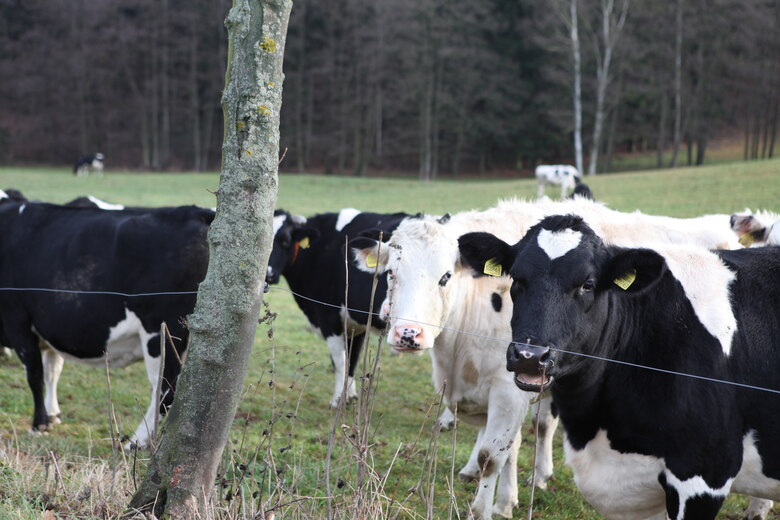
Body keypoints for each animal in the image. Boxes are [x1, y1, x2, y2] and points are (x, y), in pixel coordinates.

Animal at [0, 192, 212, 448]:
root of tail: (198, 212)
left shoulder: (17, 319)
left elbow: (34, 375)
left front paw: (39, 425)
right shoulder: (47, 329)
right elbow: (52, 370)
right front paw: (53, 415)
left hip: (161, 332)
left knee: (165, 388)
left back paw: (136, 442)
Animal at [267, 208, 415, 408]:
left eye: (284, 241)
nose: (268, 274)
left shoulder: (328, 317)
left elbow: (340, 362)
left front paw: (338, 400)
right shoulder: (357, 323)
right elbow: (351, 360)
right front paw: (350, 395)